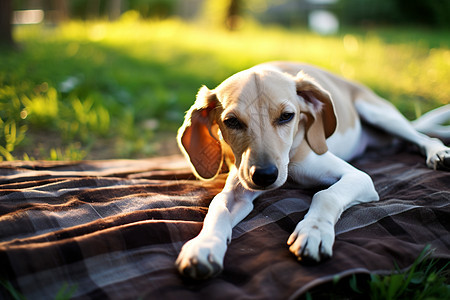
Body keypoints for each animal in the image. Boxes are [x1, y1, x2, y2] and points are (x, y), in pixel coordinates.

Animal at [175, 61, 450, 278]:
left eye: (287, 116)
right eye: (231, 122)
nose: (265, 176)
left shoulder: (358, 177)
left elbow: (325, 195)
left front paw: (313, 231)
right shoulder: (238, 190)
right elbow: (217, 208)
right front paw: (204, 245)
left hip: (378, 113)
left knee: (423, 136)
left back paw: (437, 152)